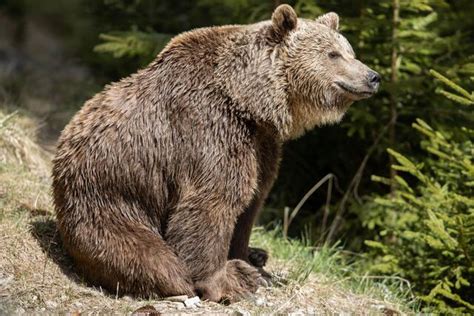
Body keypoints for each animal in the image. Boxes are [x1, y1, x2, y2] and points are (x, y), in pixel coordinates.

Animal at [51, 3, 380, 302]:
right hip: (112, 196)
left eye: (349, 50)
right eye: (333, 54)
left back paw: (258, 256)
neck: (251, 103)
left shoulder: (262, 145)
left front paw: (251, 262)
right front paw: (227, 281)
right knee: (147, 255)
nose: (373, 76)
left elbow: (251, 202)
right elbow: (213, 201)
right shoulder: (209, 129)